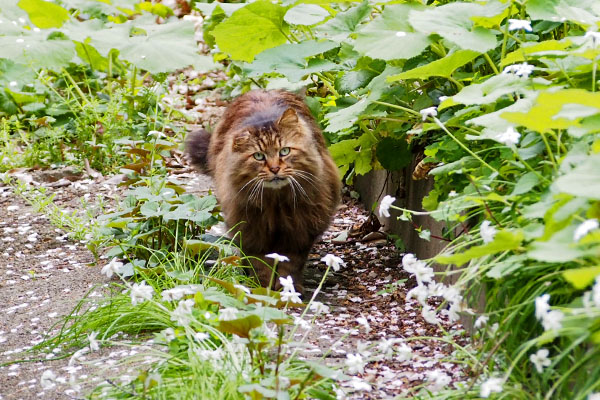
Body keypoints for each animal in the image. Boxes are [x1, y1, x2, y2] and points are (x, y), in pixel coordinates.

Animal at [185, 89, 340, 292]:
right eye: (259, 156)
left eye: (284, 151)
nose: (274, 169)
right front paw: (263, 288)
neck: (276, 203)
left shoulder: (298, 231)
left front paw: (286, 288)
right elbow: (260, 266)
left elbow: (289, 266)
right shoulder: (253, 232)